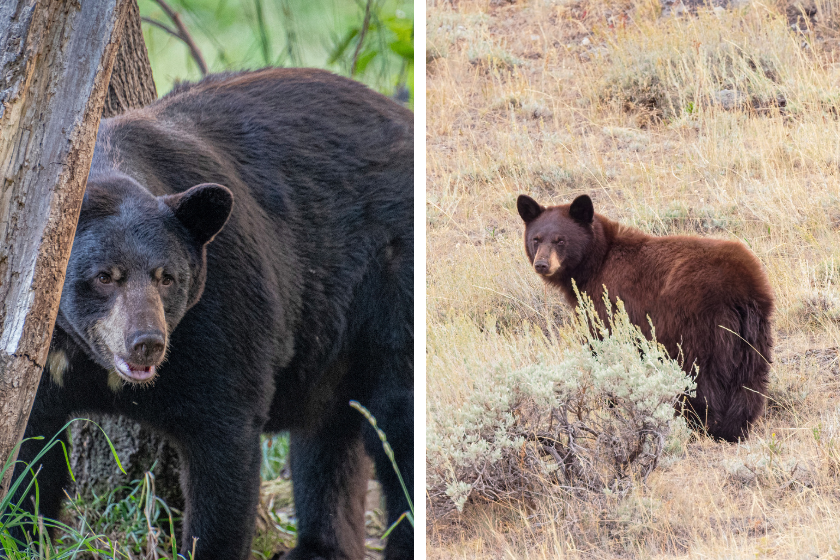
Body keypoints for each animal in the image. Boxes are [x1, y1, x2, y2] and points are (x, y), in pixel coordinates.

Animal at [7, 69, 414, 560]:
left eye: (167, 277)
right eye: (104, 276)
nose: (147, 343)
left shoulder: (217, 313)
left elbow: (222, 442)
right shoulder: (38, 341)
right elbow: (31, 457)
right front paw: (22, 533)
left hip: (391, 284)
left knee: (396, 425)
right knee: (326, 436)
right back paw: (317, 547)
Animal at [516, 194, 776, 442]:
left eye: (560, 240)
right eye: (536, 239)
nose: (542, 264)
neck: (598, 261)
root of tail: (741, 289)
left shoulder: (607, 302)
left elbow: (603, 345)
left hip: (699, 326)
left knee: (700, 377)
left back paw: (699, 425)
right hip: (753, 335)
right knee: (750, 381)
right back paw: (733, 429)